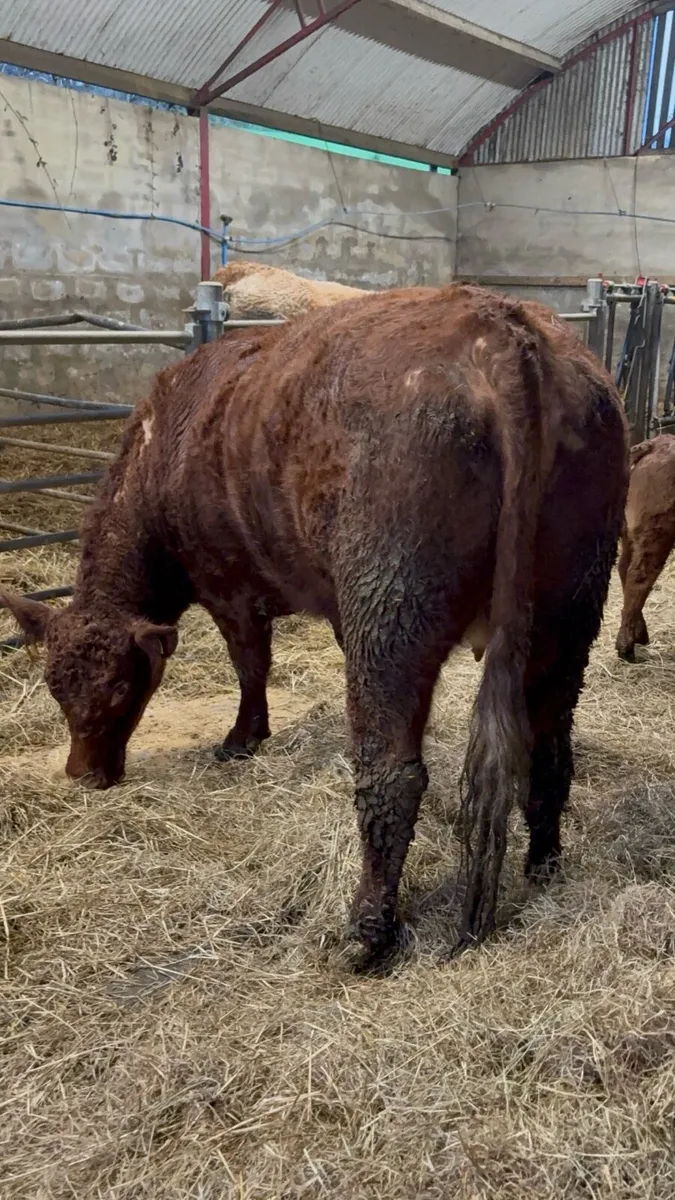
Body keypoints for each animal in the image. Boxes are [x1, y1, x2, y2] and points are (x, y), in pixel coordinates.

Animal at [0, 284, 628, 966]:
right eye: (55, 688)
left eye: (121, 687)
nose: (83, 775)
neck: (168, 443)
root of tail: (501, 328)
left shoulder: (230, 588)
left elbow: (251, 664)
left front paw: (243, 738)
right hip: (570, 611)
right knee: (548, 747)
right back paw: (543, 870)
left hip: (391, 611)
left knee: (392, 775)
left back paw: (367, 934)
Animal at [616, 432, 675, 660]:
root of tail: (654, 444)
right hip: (657, 533)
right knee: (638, 576)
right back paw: (626, 647)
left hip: (628, 532)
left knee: (624, 567)